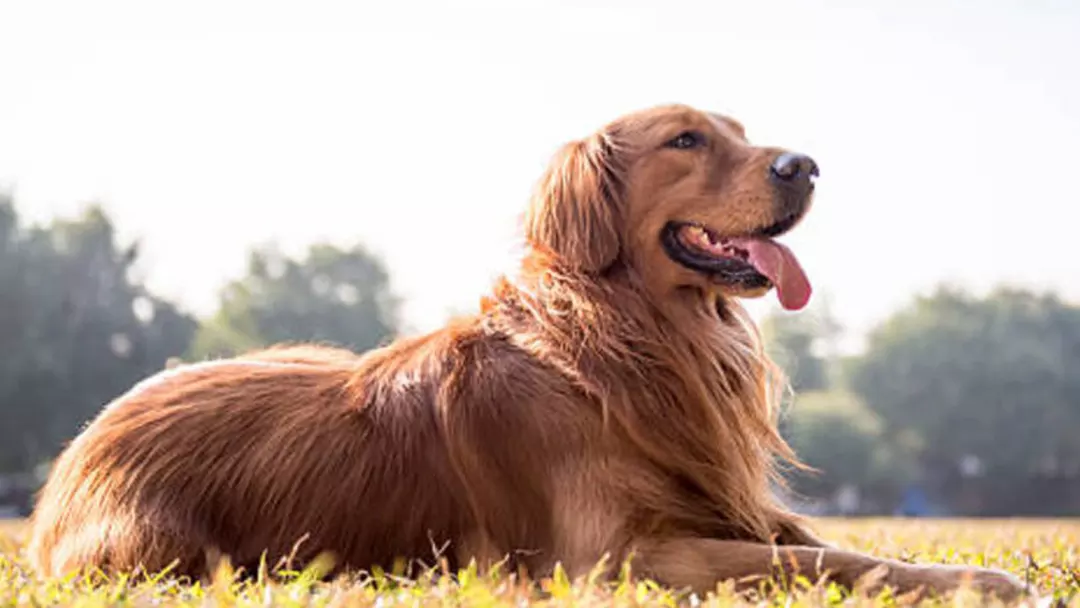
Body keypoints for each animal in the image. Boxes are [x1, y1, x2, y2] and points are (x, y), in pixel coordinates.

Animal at [23, 103, 1019, 600]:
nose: (805, 166)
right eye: (686, 140)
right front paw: (987, 582)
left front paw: (972, 574)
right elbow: (817, 562)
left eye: (741, 134)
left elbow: (836, 545)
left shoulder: (724, 508)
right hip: (166, 550)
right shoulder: (618, 558)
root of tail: (73, 455)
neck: (635, 337)